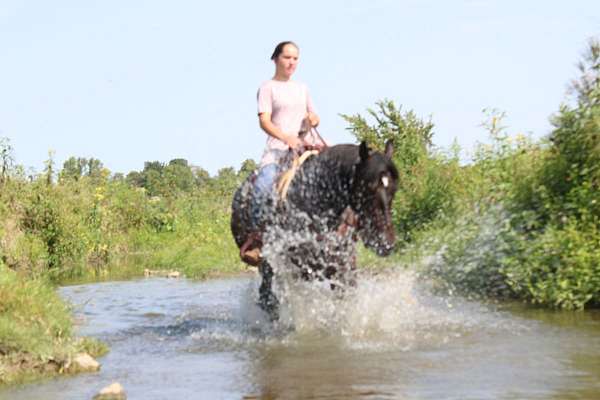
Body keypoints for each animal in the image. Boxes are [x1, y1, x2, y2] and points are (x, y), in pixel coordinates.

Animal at [230, 141, 398, 318]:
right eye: (368, 188)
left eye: (394, 189)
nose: (386, 243)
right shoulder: (302, 267)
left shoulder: (343, 265)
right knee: (266, 293)